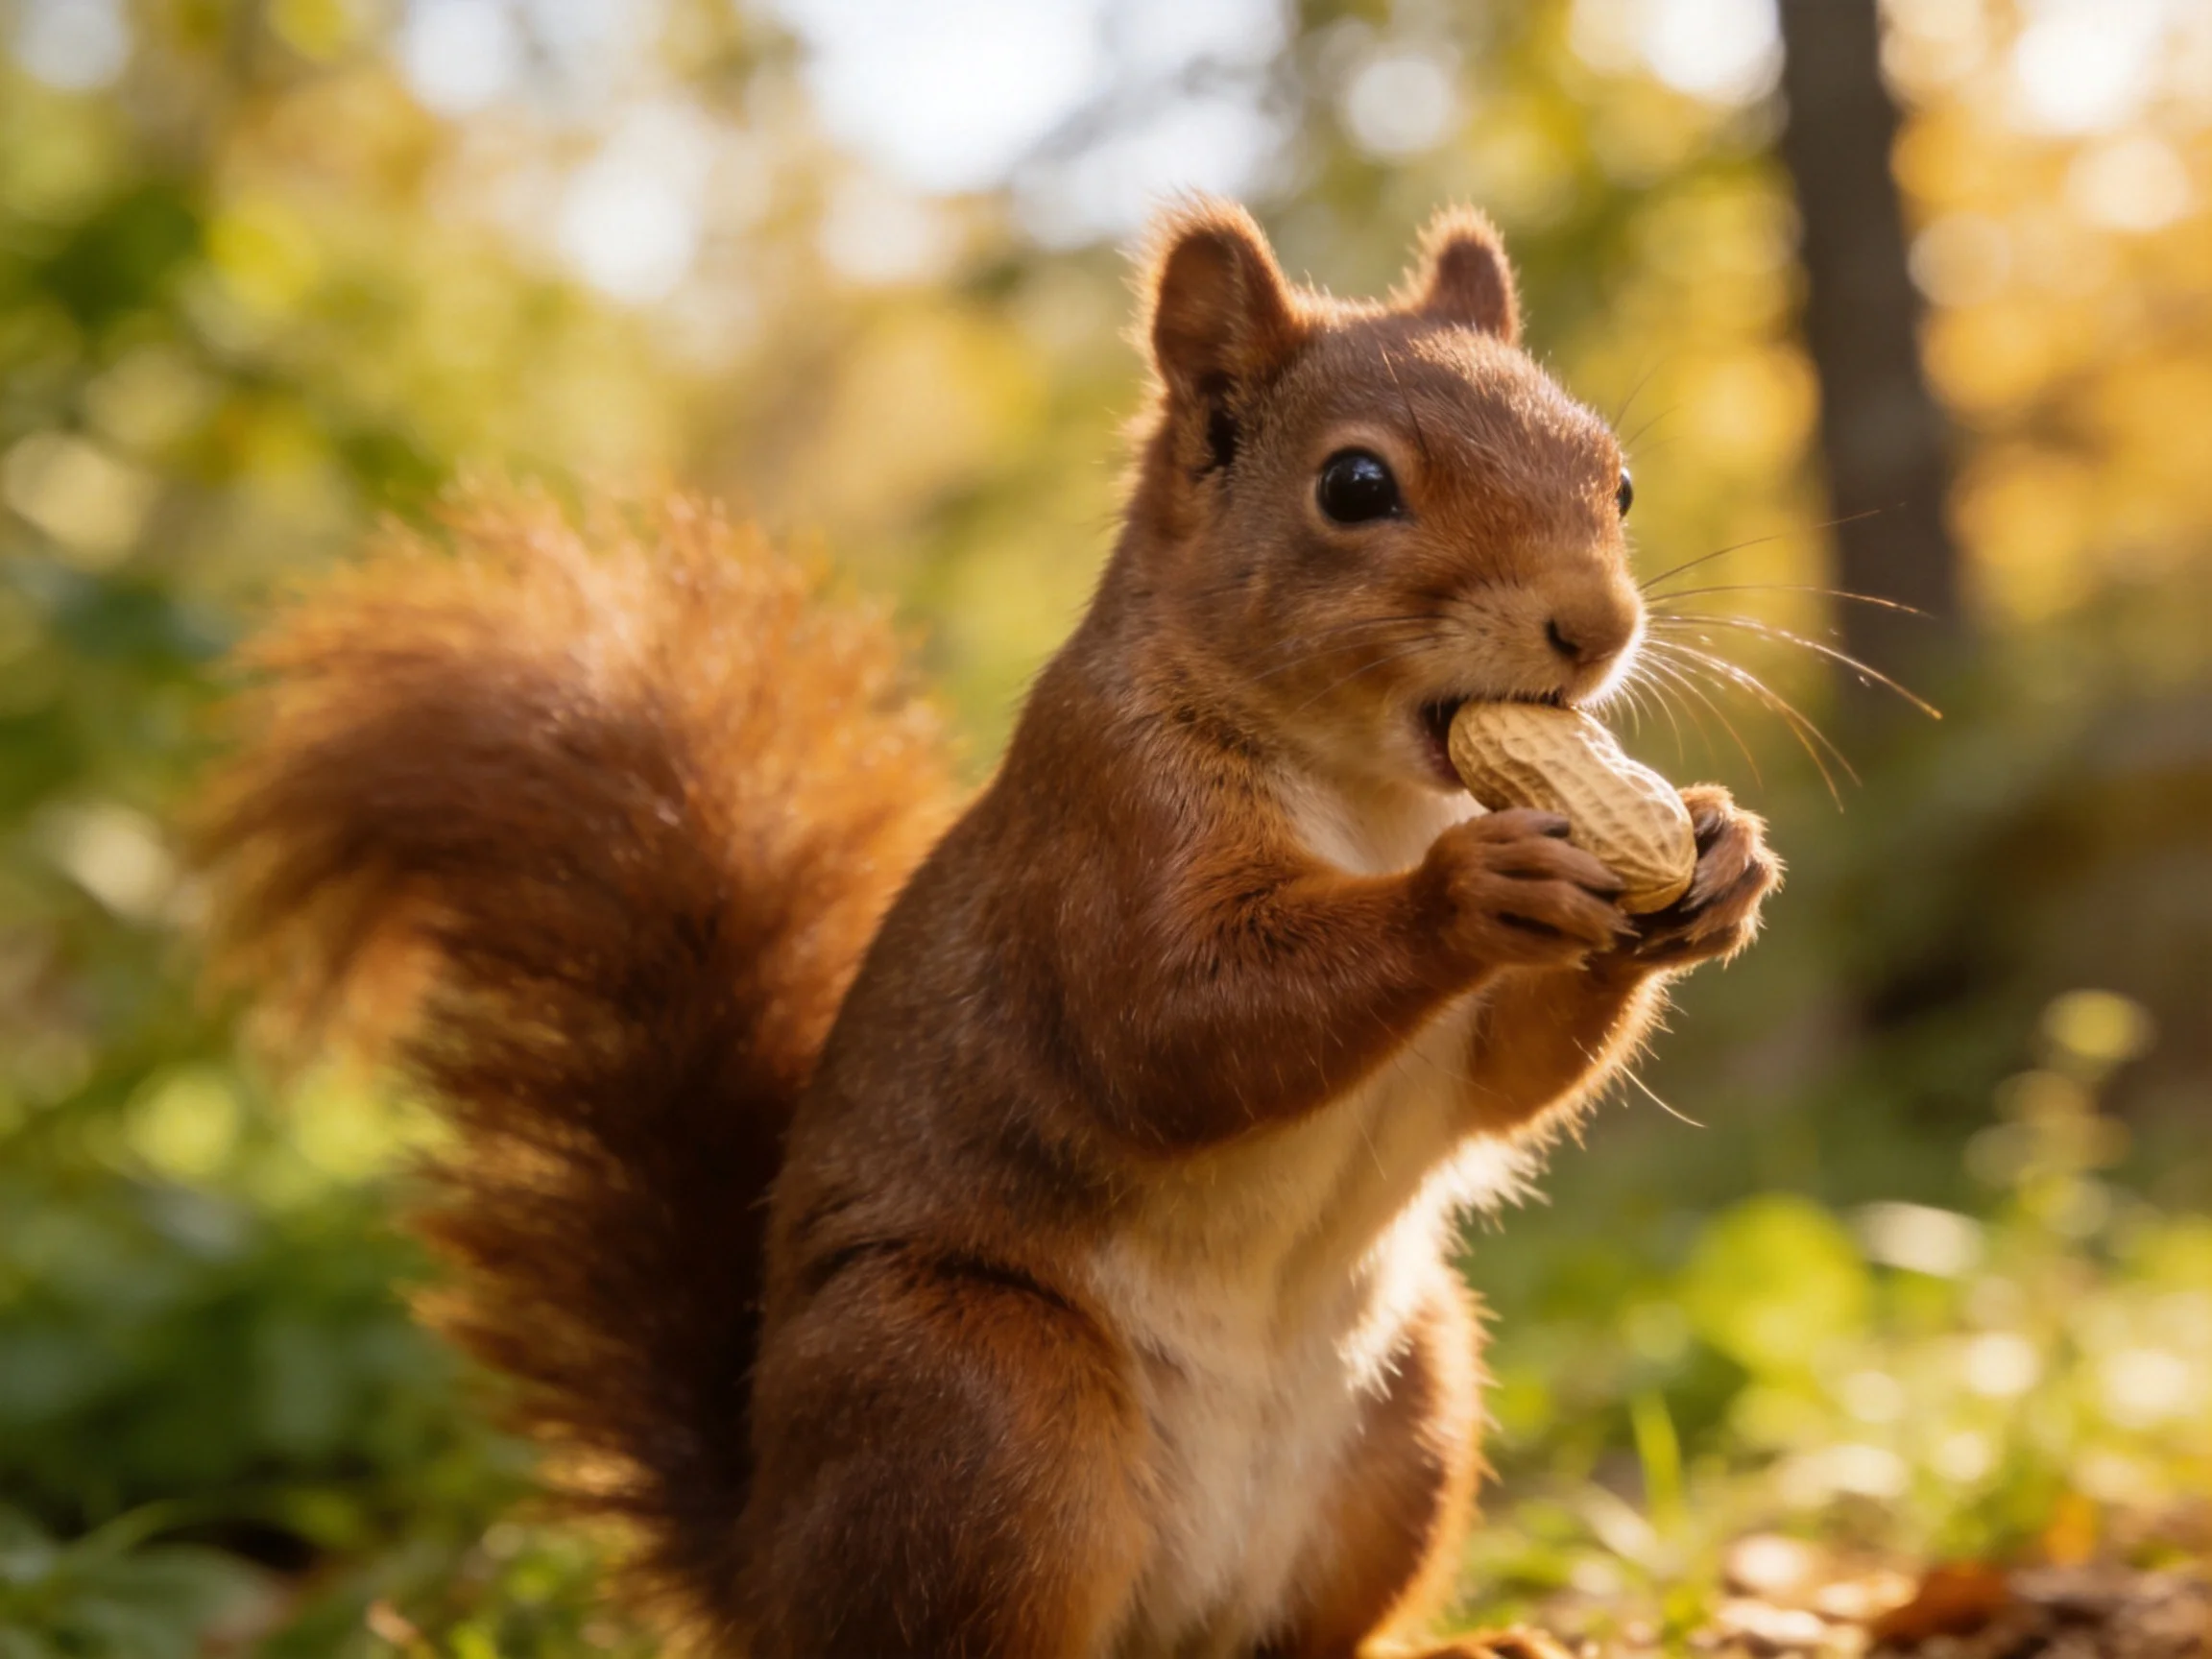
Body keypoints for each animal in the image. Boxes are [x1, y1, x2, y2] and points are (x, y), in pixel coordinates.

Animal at [200, 202, 1780, 1658]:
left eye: (1618, 479)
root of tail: (765, 1573)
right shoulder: (1101, 828)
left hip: (1412, 1411)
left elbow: (1506, 1080)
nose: (1596, 627)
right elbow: (1175, 1029)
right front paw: (1472, 895)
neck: (1377, 795)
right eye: (1354, 485)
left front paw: (1715, 860)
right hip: (982, 1407)